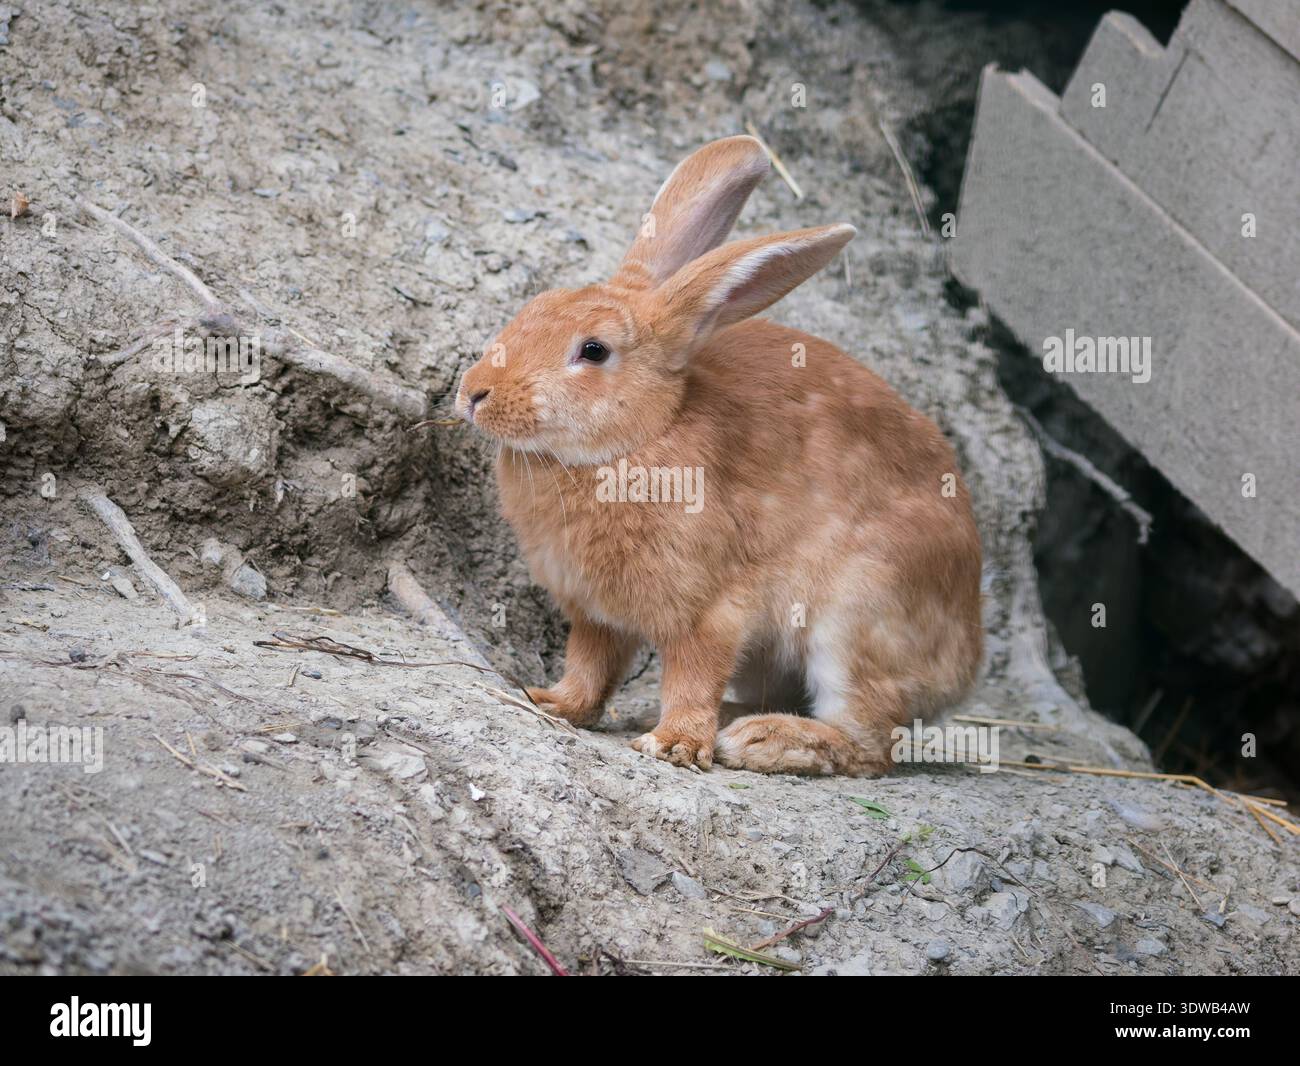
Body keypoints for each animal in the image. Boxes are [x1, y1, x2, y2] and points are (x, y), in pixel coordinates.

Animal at [455, 135, 982, 776]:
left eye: (593, 350)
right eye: (536, 304)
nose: (473, 393)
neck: (637, 440)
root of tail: (967, 662)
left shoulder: (710, 610)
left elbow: (693, 673)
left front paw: (673, 744)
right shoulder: (597, 616)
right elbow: (590, 665)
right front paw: (552, 702)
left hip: (855, 618)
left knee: (869, 742)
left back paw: (761, 740)